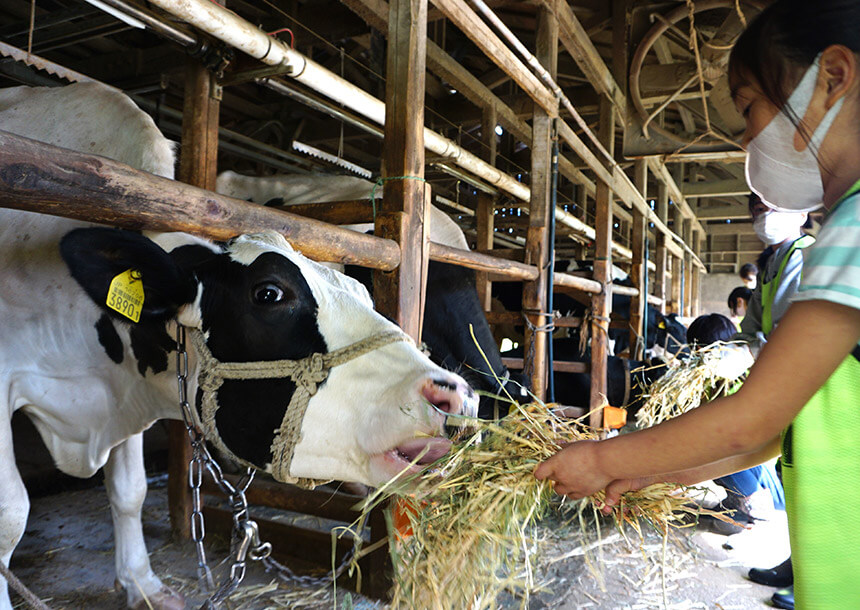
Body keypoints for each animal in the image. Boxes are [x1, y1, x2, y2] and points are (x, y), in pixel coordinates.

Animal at [0, 82, 478, 608]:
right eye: (269, 293)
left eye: (361, 290)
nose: (454, 395)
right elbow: (11, 515)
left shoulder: (123, 386)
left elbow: (128, 490)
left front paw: (144, 585)